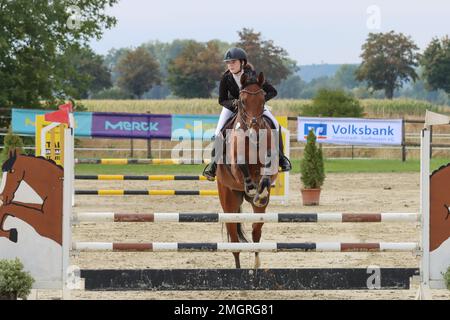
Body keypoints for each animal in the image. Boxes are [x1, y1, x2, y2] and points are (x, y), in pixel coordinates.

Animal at [214, 71, 278, 268]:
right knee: (234, 239)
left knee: (256, 231)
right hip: (229, 200)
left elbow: (266, 172)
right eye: (241, 101)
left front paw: (260, 191)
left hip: (258, 211)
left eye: (263, 99)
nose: (254, 131)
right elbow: (241, 165)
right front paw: (250, 187)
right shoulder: (235, 166)